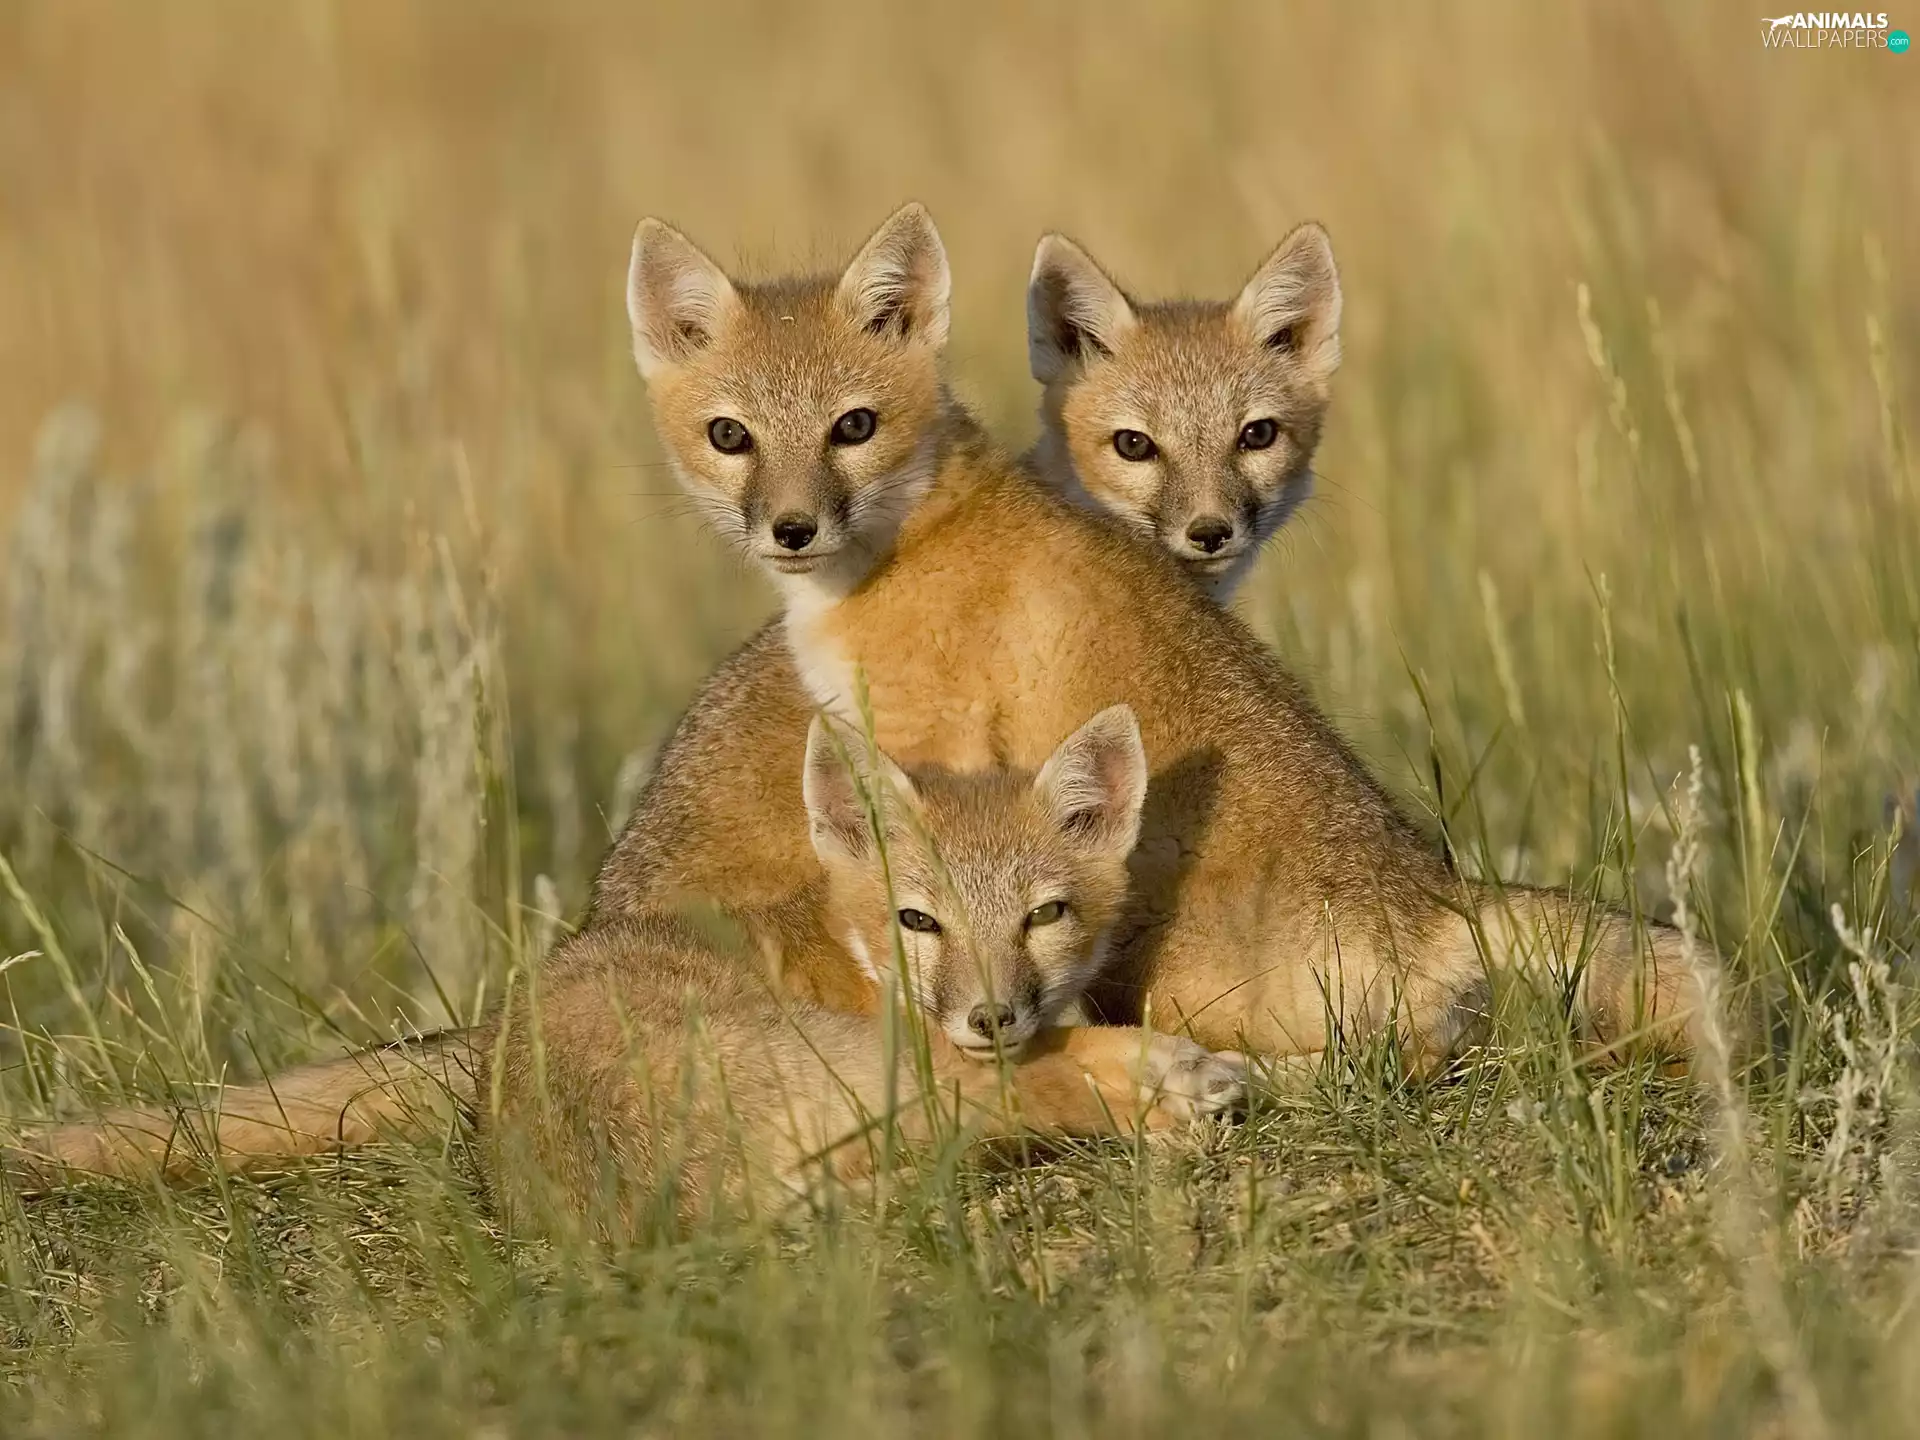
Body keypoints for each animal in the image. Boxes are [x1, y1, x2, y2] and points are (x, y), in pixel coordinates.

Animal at [4, 707, 1245, 1222]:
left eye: (1045, 914)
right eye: (917, 920)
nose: (991, 1015)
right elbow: (1052, 1067)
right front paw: (1154, 1075)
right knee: (1038, 1094)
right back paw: (1172, 1085)